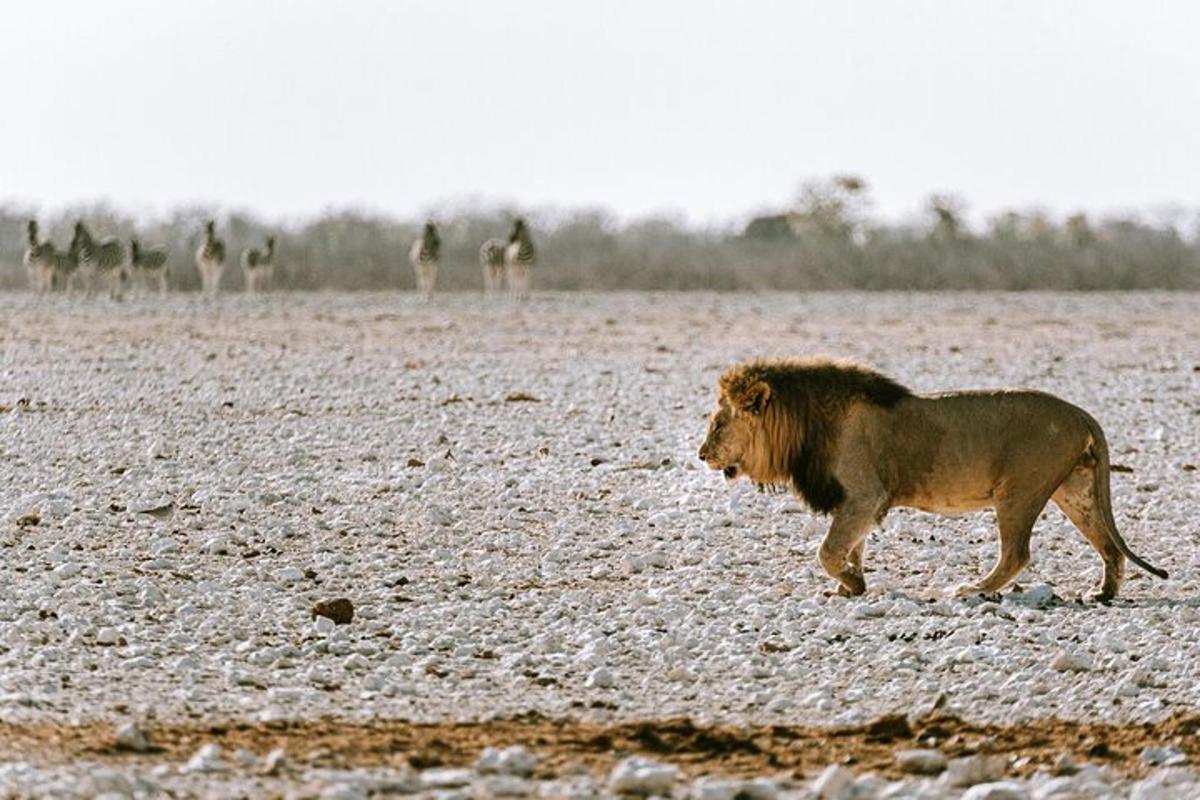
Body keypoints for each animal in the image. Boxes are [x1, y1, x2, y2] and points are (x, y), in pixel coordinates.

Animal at [700, 357, 1166, 599]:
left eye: (719, 423)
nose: (702, 454)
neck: (806, 424)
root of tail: (1080, 412)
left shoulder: (864, 495)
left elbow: (828, 551)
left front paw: (852, 583)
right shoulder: (859, 503)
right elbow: (853, 547)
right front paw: (851, 585)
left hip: (1018, 492)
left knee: (1017, 554)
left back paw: (974, 589)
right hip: (1076, 490)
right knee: (1109, 546)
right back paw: (1103, 594)